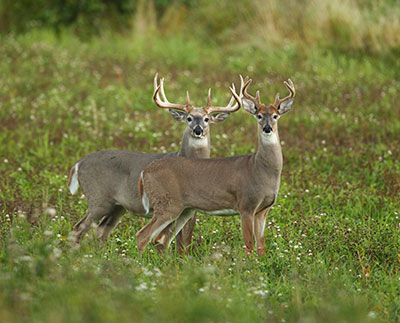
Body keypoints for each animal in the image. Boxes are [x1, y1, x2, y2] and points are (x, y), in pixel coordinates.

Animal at [136, 77, 296, 256]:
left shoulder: (263, 210)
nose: (267, 128)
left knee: (161, 239)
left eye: (275, 116)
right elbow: (249, 246)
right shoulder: (246, 204)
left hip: (184, 209)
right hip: (167, 204)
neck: (260, 169)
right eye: (259, 115)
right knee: (143, 235)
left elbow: (261, 246)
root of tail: (145, 171)